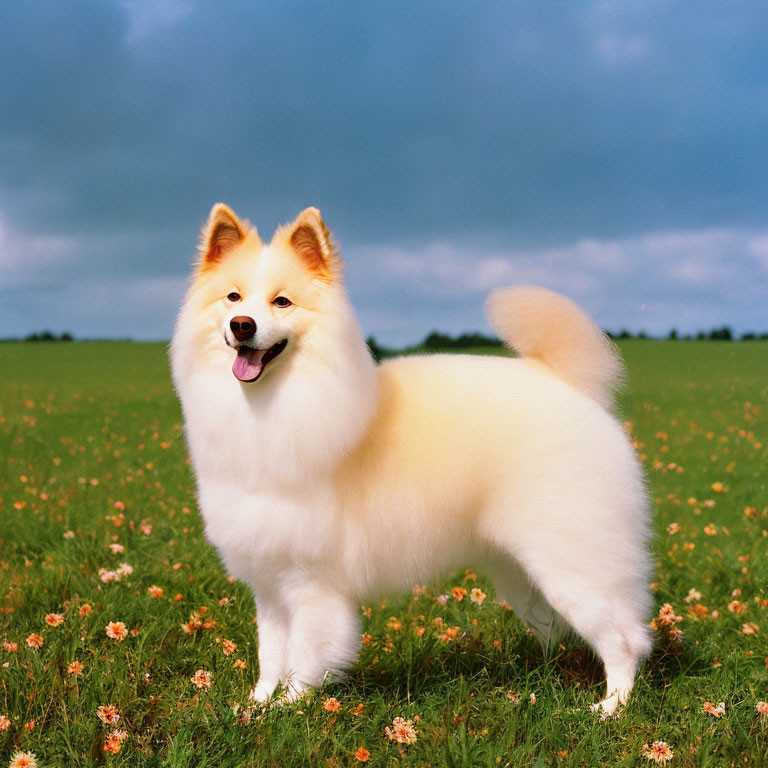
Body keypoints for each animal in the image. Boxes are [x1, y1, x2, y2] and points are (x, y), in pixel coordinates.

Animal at [171, 202, 652, 712]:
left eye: (282, 302)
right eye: (233, 297)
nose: (242, 324)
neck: (272, 409)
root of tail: (566, 383)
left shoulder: (311, 583)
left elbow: (303, 654)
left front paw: (292, 706)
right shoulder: (270, 582)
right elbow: (270, 652)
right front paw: (257, 706)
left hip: (573, 562)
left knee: (625, 638)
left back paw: (611, 708)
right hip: (522, 568)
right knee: (562, 627)